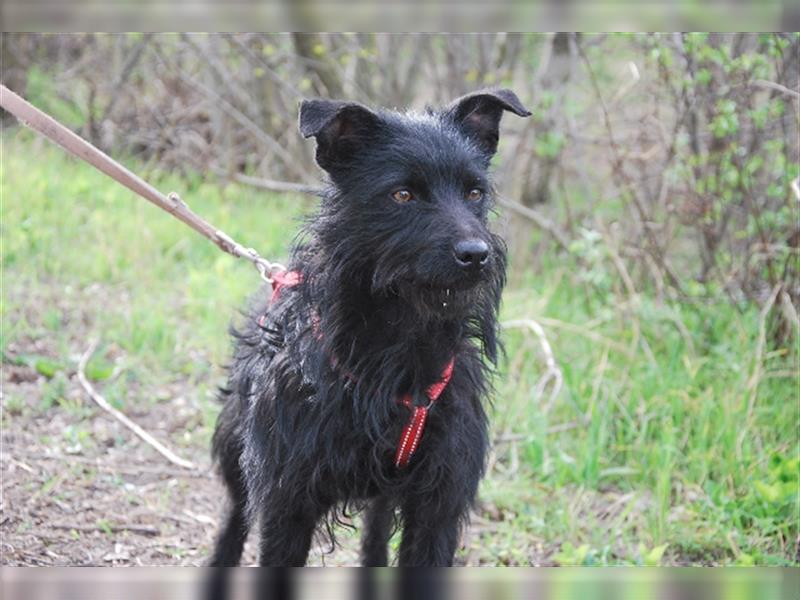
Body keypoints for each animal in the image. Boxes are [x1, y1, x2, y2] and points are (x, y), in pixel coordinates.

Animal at [209, 86, 528, 564]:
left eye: (475, 192)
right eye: (402, 195)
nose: (476, 254)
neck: (401, 338)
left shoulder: (437, 508)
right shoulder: (287, 502)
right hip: (237, 453)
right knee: (234, 518)